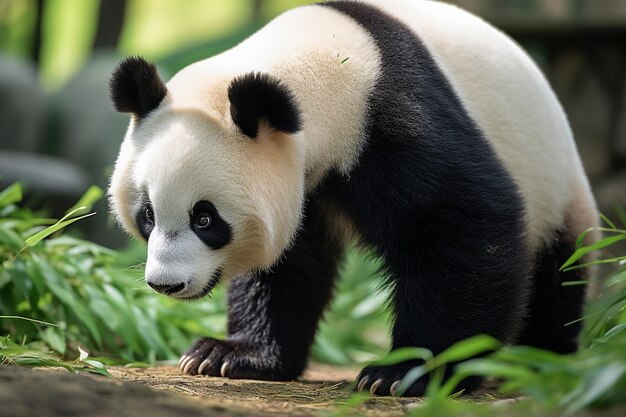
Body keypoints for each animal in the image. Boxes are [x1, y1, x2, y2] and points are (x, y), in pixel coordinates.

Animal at [107, 0, 596, 396]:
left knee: (556, 277)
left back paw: (538, 360)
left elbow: (462, 224)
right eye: (147, 215)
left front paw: (406, 373)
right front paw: (232, 354)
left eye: (205, 219)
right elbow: (289, 266)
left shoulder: (391, 119)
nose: (166, 284)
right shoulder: (306, 178)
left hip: (554, 186)